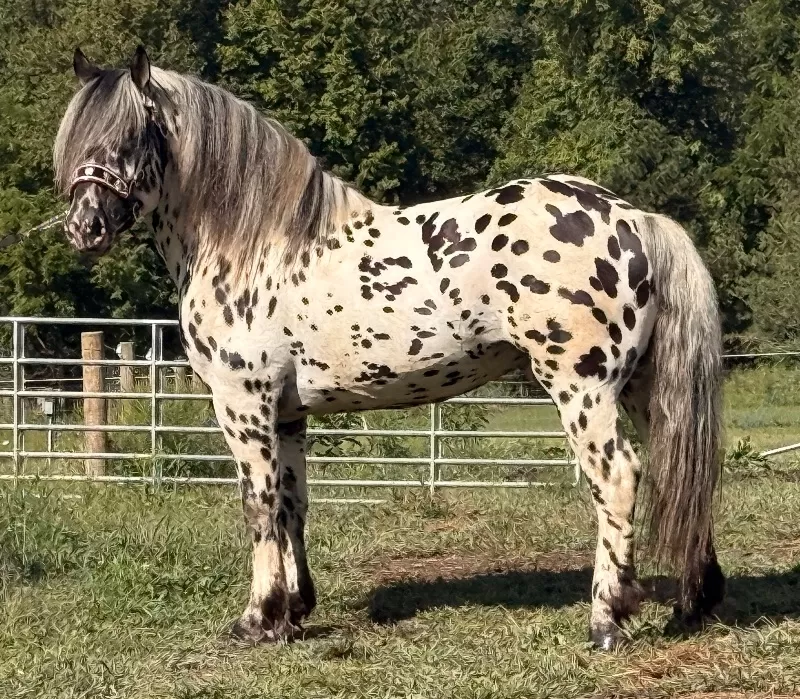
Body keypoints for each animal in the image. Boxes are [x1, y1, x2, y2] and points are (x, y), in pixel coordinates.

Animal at [53, 46, 725, 650]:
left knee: (618, 478)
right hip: (639, 389)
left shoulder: (243, 406)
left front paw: (257, 620)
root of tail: (634, 218)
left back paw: (606, 619)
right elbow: (293, 503)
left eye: (129, 137)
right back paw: (695, 603)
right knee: (678, 470)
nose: (84, 229)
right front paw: (295, 612)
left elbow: (259, 506)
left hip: (583, 389)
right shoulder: (288, 414)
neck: (254, 243)